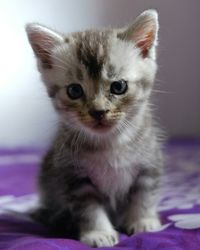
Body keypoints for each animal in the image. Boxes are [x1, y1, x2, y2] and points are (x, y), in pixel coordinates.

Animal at [26, 9, 164, 248]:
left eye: (119, 86)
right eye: (74, 91)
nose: (98, 112)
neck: (111, 143)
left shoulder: (149, 163)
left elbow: (144, 195)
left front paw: (143, 221)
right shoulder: (74, 177)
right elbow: (88, 209)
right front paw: (98, 233)